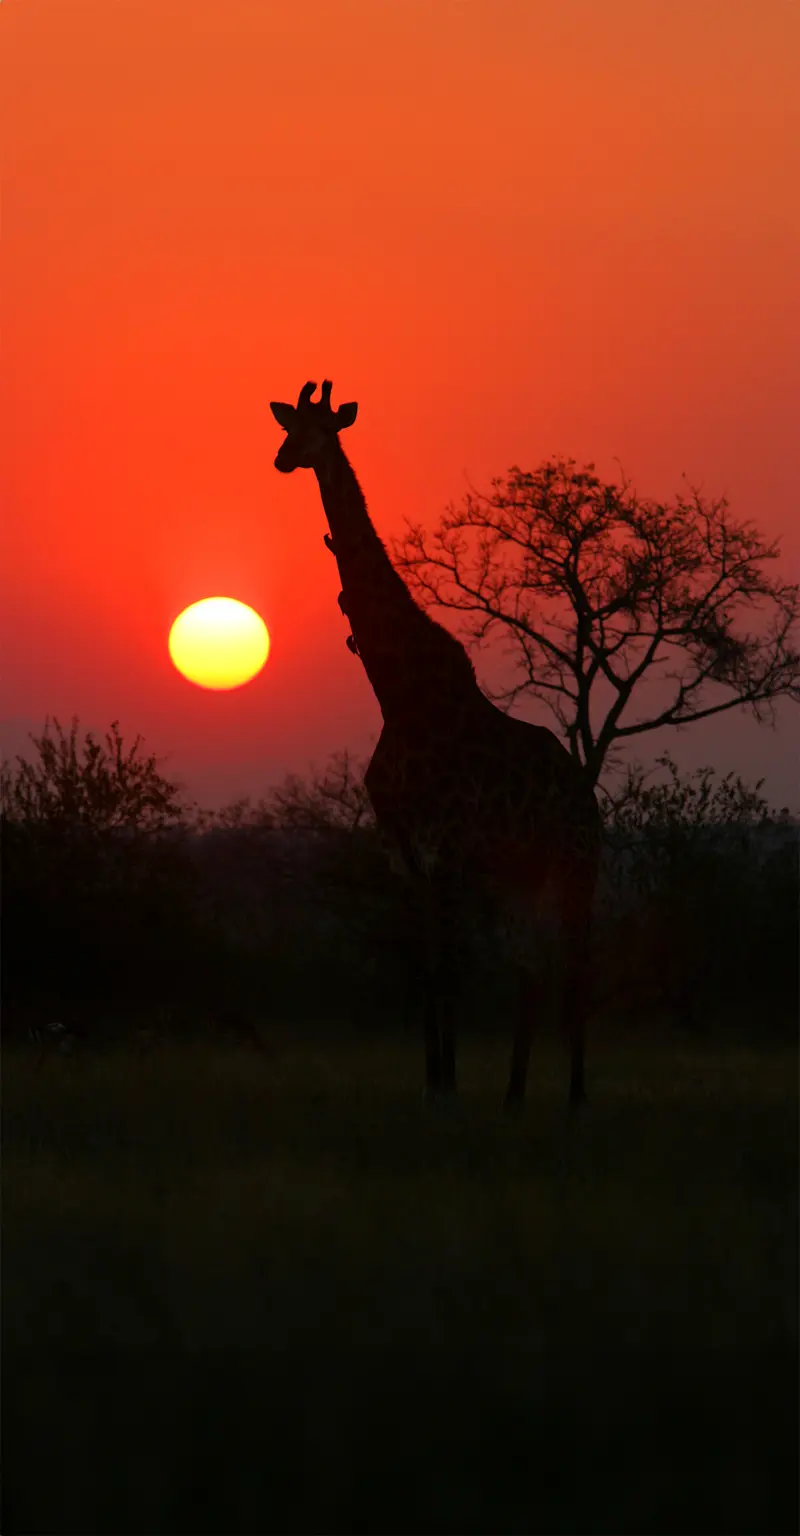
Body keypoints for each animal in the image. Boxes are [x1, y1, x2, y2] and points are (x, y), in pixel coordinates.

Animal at [269, 381, 602, 1107]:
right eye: (287, 426)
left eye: (322, 428)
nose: (281, 459)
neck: (398, 695)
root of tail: (589, 795)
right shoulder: (404, 853)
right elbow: (427, 969)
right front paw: (433, 1082)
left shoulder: (444, 845)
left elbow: (450, 969)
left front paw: (448, 1086)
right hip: (518, 871)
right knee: (532, 967)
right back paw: (514, 1096)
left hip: (576, 864)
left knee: (577, 965)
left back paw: (575, 1100)